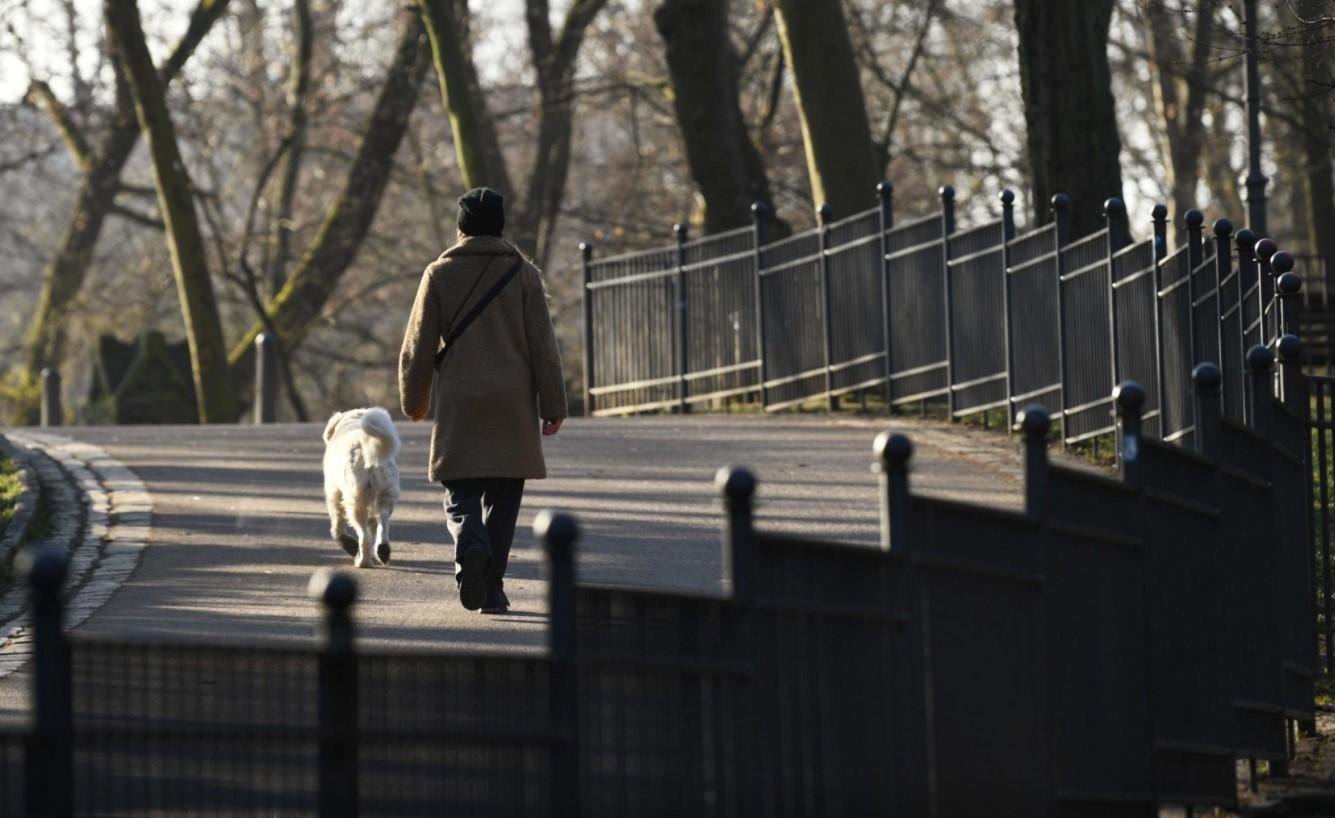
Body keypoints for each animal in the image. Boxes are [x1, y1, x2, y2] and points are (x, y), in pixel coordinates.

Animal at [324, 405, 400, 568]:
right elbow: (373, 528)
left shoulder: (333, 492)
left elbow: (337, 526)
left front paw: (349, 545)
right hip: (386, 493)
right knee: (382, 521)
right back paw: (382, 551)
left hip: (355, 501)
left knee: (364, 537)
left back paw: (362, 561)